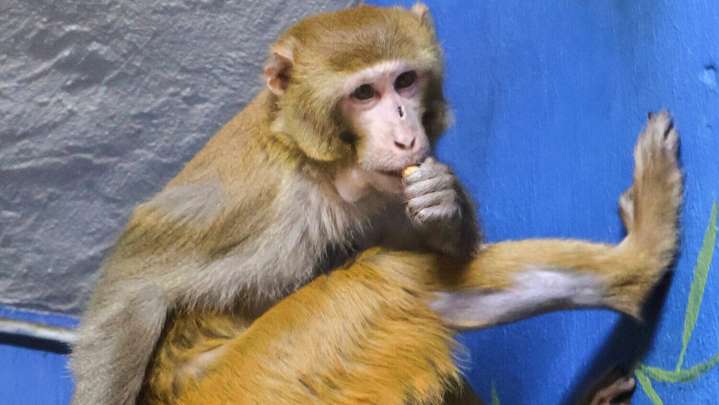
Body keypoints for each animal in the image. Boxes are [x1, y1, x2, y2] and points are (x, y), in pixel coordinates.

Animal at [70, 4, 480, 405]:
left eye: (405, 81)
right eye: (364, 93)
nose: (405, 137)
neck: (320, 167)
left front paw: (442, 200)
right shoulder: (254, 205)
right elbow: (130, 291)